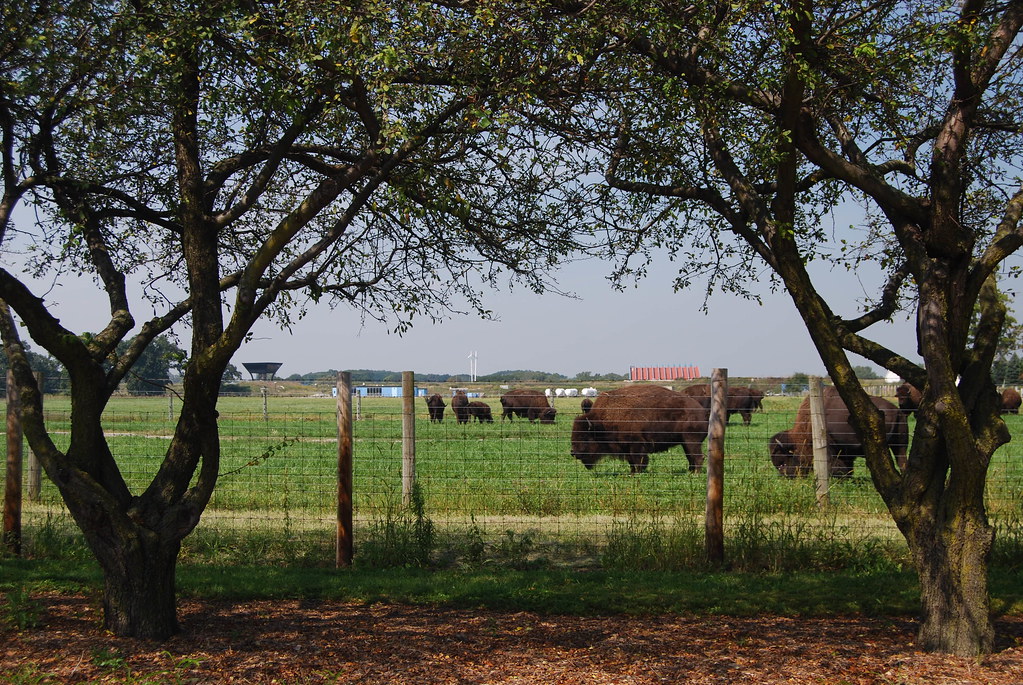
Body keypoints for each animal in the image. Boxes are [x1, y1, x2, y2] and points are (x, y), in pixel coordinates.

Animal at [570, 385, 708, 474]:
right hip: (685, 443)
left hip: (691, 441)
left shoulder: (636, 445)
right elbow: (631, 461)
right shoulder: (626, 447)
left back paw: (695, 474)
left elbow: (638, 460)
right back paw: (690, 472)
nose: (573, 453)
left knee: (698, 457)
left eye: (584, 437)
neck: (601, 423)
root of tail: (701, 412)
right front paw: (632, 473)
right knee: (691, 457)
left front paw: (637, 473)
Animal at [769, 387, 908, 478]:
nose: (786, 476)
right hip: (900, 445)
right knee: (902, 462)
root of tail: (895, 411)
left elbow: (835, 465)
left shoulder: (831, 448)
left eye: (783, 461)